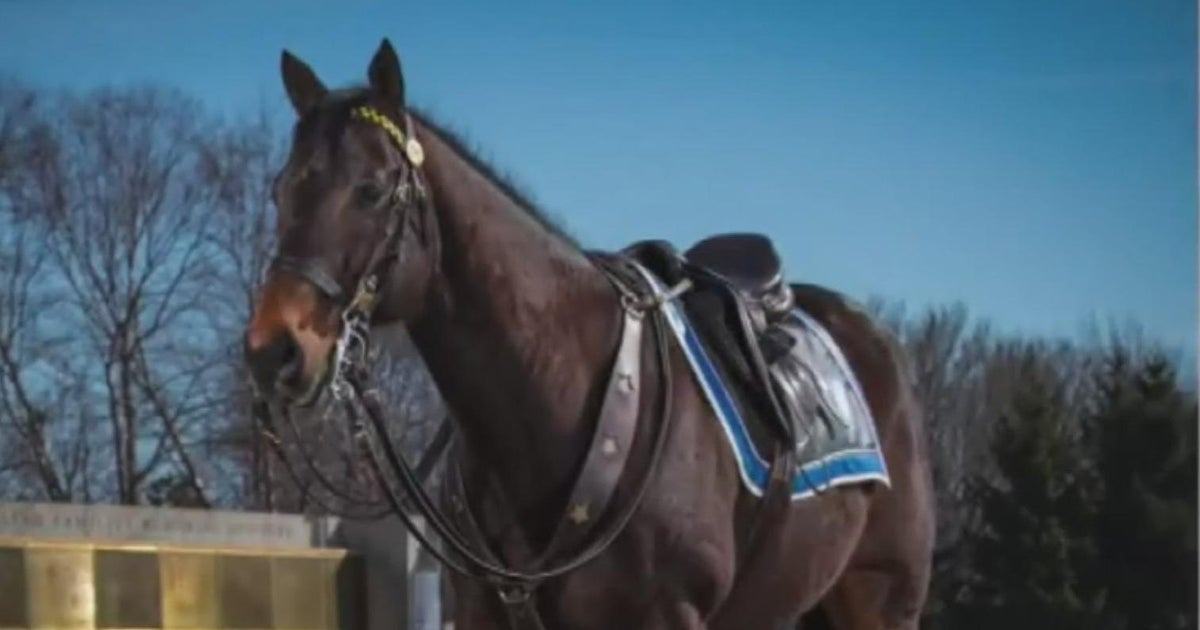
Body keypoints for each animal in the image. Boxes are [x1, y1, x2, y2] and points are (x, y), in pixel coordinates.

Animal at [244, 38, 935, 630]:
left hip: (882, 600)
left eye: (370, 190)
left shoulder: (667, 615)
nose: (274, 350)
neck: (557, 396)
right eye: (281, 190)